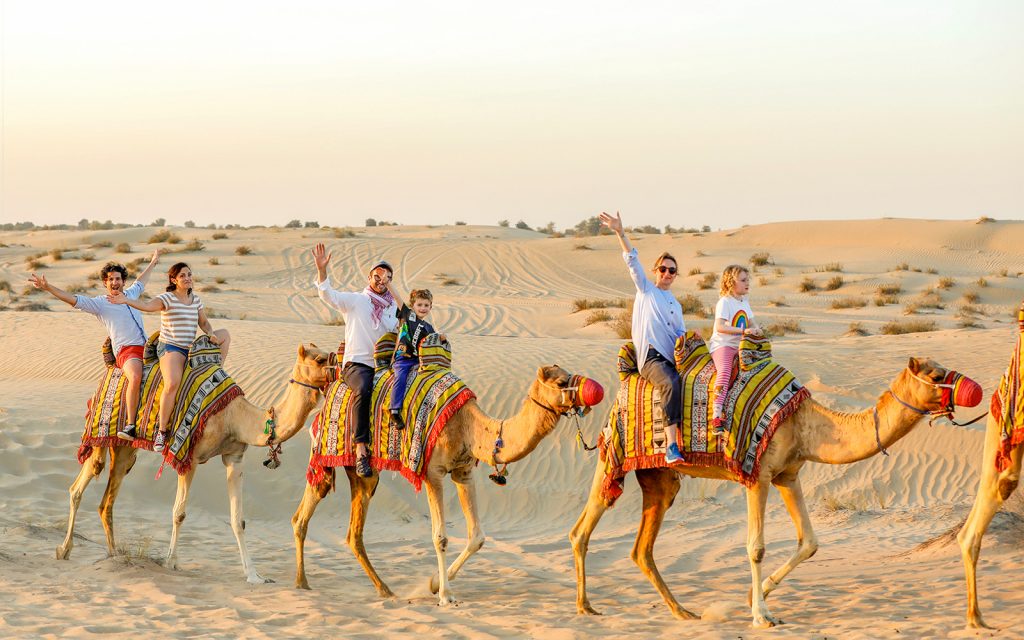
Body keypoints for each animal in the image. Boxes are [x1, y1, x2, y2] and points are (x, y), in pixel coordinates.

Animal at [57, 344, 331, 585]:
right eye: (320, 359)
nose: (337, 367)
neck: (235, 417)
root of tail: (110, 368)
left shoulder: (234, 457)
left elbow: (238, 519)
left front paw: (255, 576)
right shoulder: (189, 457)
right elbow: (179, 512)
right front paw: (170, 563)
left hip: (125, 449)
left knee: (106, 502)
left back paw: (114, 556)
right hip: (101, 434)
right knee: (79, 486)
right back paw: (64, 550)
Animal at [292, 364, 602, 602]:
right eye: (561, 382)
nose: (594, 391)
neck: (469, 426)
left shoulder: (463, 472)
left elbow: (477, 536)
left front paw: (433, 584)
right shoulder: (434, 472)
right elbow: (440, 536)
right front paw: (445, 595)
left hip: (365, 474)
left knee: (353, 533)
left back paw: (384, 589)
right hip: (327, 455)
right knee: (304, 514)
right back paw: (302, 582)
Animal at [573, 356, 978, 626]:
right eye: (936, 374)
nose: (973, 389)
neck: (806, 422)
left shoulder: (789, 475)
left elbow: (810, 542)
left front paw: (755, 594)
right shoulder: (760, 475)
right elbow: (756, 547)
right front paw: (762, 615)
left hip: (660, 479)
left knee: (642, 549)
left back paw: (683, 611)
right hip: (614, 456)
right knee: (583, 528)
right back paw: (585, 607)